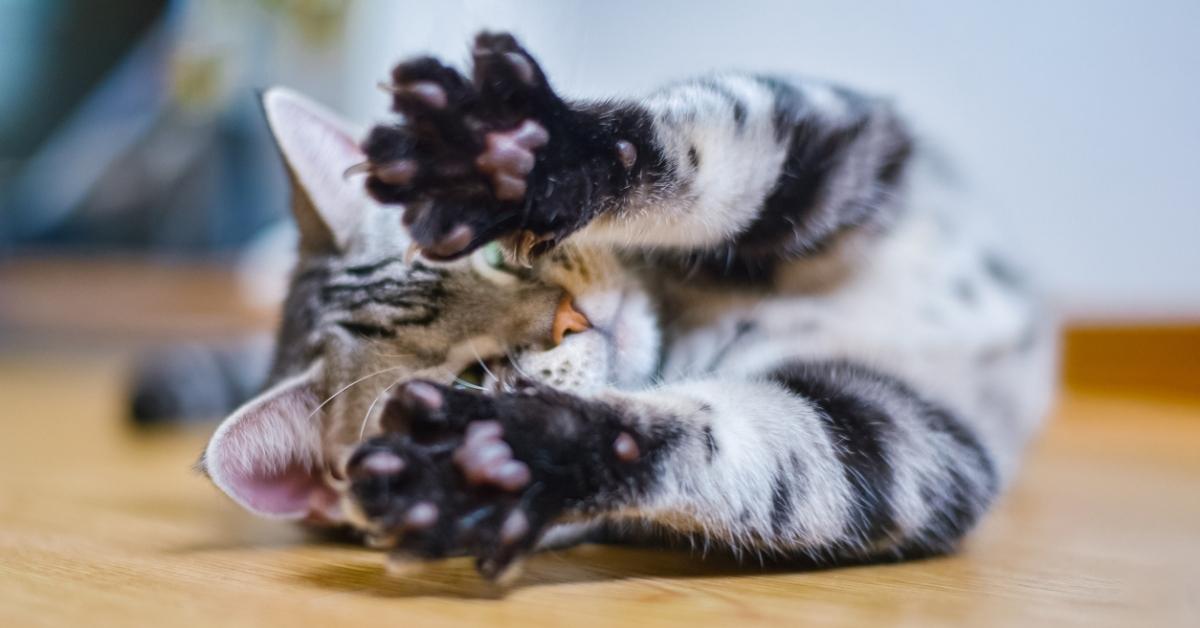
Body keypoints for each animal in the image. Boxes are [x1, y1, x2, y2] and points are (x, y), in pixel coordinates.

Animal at [194, 31, 1051, 583]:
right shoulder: (896, 441)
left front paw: (517, 154)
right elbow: (732, 445)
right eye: (467, 378)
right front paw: (501, 464)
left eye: (492, 254)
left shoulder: (839, 136)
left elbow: (700, 149)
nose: (574, 319)